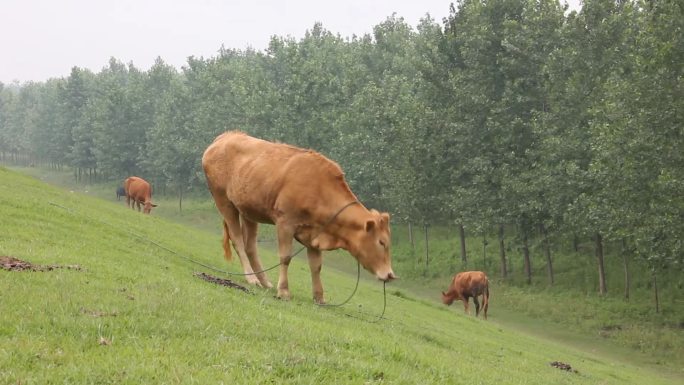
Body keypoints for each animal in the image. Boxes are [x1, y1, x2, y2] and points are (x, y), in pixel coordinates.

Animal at [202, 131, 396, 304]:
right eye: (381, 242)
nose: (390, 275)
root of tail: (225, 137)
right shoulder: (285, 223)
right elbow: (285, 257)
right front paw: (283, 291)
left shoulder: (315, 234)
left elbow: (316, 266)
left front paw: (319, 297)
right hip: (223, 201)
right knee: (238, 241)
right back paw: (252, 278)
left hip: (248, 209)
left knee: (250, 246)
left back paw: (264, 281)